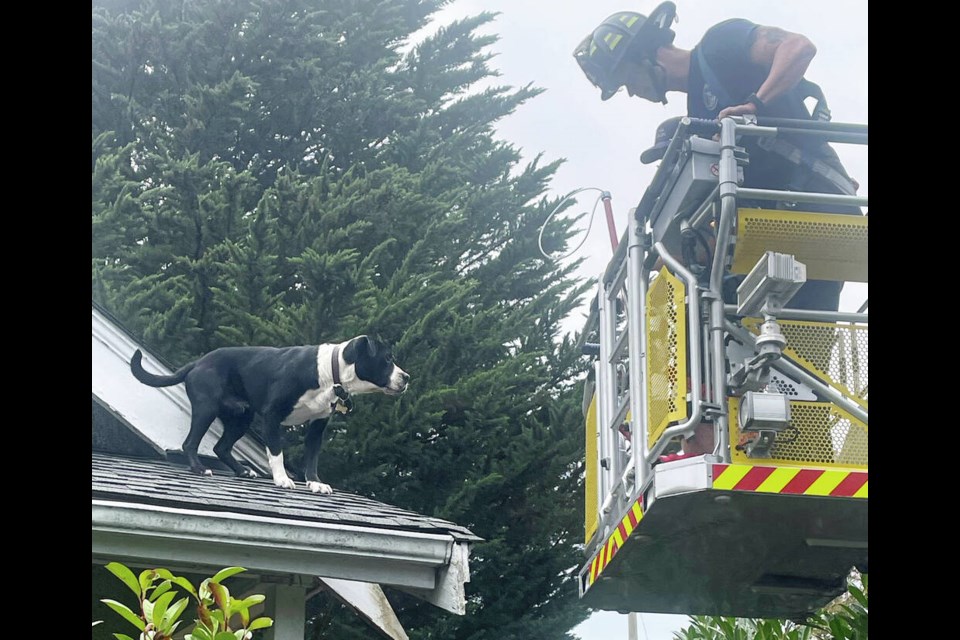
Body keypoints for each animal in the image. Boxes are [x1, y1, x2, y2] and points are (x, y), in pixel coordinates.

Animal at [128, 338, 408, 492]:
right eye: (387, 359)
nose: (406, 377)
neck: (331, 371)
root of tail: (197, 363)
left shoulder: (317, 427)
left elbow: (312, 458)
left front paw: (315, 483)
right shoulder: (272, 416)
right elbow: (277, 452)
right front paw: (282, 479)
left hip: (241, 418)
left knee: (221, 447)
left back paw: (242, 472)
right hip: (207, 408)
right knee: (190, 442)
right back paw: (199, 469)